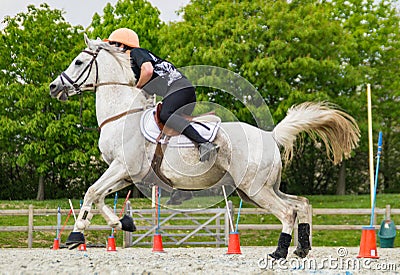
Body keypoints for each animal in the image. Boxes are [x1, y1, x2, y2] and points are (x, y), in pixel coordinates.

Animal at [49, 35, 360, 260]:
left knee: (287, 212)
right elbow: (99, 196)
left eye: (78, 62)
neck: (123, 114)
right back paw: (301, 248)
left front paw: (76, 235)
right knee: (302, 204)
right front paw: (121, 223)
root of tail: (269, 135)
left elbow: (91, 192)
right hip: (259, 189)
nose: (53, 87)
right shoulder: (127, 174)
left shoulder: (122, 167)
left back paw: (280, 252)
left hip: (256, 189)